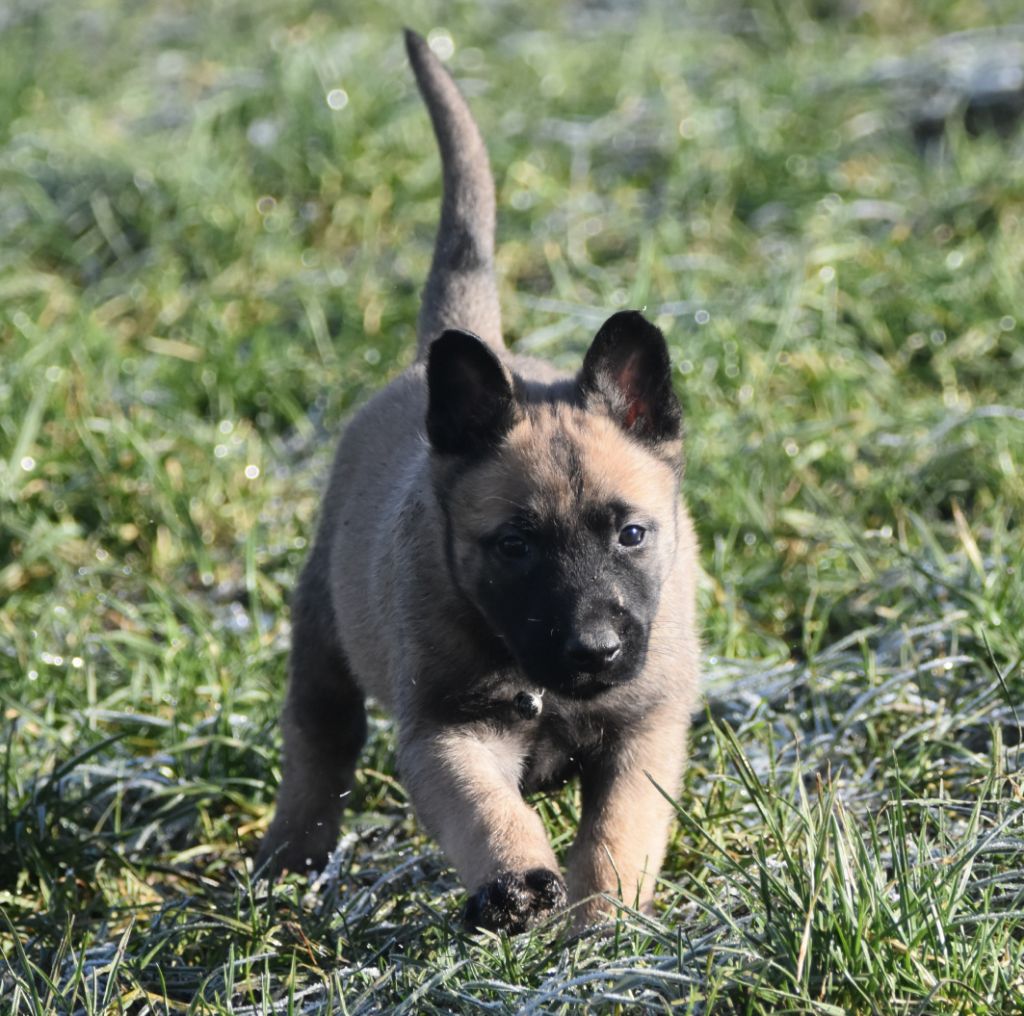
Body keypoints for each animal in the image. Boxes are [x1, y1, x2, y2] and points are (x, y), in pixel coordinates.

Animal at [258, 27, 704, 934]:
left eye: (631, 534)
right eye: (513, 546)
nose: (595, 649)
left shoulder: (646, 727)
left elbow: (622, 825)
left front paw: (605, 912)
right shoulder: (446, 733)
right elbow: (484, 810)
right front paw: (517, 882)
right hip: (322, 638)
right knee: (319, 746)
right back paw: (289, 860)